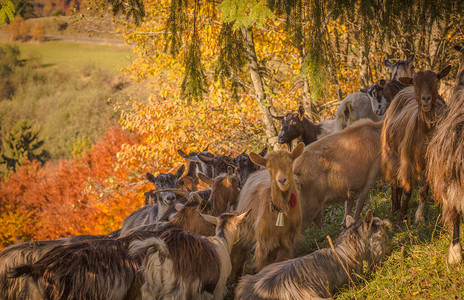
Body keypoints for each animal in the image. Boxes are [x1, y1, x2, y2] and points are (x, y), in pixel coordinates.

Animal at [231, 142, 304, 282]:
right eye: (270, 167)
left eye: (290, 162)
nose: (282, 180)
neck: (280, 212)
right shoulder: (263, 244)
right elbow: (262, 267)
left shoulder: (287, 242)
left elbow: (279, 263)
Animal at [380, 67, 450, 221]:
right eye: (415, 82)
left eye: (436, 81)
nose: (426, 99)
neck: (425, 132)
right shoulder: (408, 161)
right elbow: (407, 190)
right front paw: (402, 218)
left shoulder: (430, 163)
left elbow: (423, 191)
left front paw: (419, 218)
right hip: (391, 153)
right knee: (394, 181)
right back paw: (395, 207)